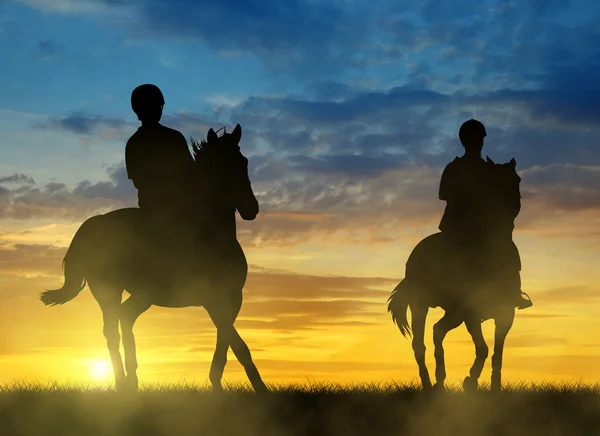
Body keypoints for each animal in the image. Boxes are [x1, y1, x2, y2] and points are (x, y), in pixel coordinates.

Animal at [41, 124, 266, 394]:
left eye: (243, 161)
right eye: (221, 166)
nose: (251, 209)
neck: (208, 234)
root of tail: (91, 225)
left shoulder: (232, 297)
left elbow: (227, 340)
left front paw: (222, 385)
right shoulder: (212, 299)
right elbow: (236, 342)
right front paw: (255, 388)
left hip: (140, 295)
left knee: (124, 319)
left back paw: (131, 380)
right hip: (108, 290)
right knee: (112, 330)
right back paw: (122, 383)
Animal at [390, 158, 524, 394]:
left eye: (516, 180)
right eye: (492, 182)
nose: (506, 215)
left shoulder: (506, 313)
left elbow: (496, 353)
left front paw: (494, 387)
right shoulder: (469, 313)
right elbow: (483, 348)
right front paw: (470, 380)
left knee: (435, 333)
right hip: (423, 305)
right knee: (422, 342)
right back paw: (431, 384)